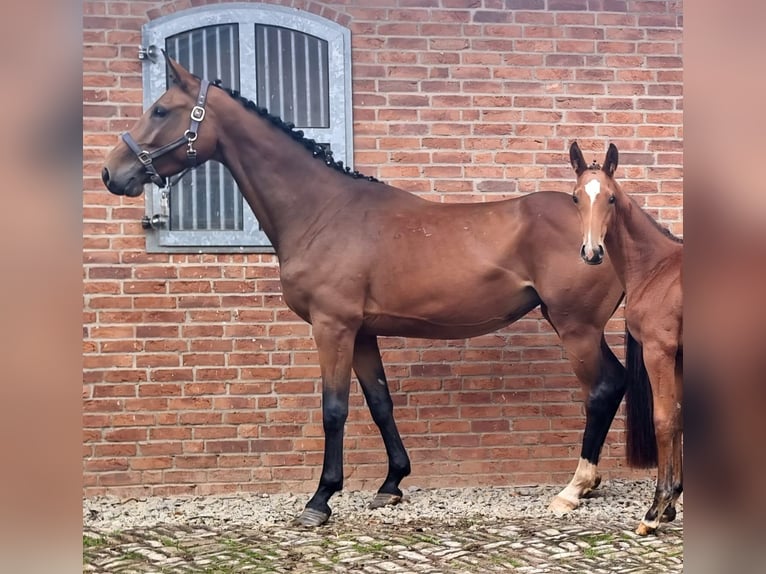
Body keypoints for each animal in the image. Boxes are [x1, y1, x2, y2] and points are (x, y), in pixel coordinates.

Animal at [101, 55, 655, 527]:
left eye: (161, 109)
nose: (111, 173)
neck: (322, 212)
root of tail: (607, 227)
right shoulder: (362, 332)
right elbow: (380, 403)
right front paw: (391, 485)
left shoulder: (332, 328)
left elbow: (334, 410)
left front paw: (320, 499)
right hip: (578, 326)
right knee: (615, 383)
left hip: (575, 326)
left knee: (601, 388)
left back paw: (574, 488)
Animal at [569, 141, 683, 535]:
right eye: (576, 197)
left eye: (611, 198)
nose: (591, 252)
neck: (657, 270)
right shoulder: (678, 357)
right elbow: (677, 417)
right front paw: (670, 505)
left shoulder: (658, 352)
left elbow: (663, 421)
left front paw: (653, 511)